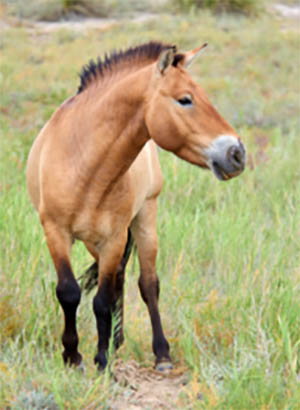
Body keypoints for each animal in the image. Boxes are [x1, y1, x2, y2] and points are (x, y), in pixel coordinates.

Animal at [26, 41, 246, 372]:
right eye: (185, 100)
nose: (237, 154)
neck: (83, 164)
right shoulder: (55, 232)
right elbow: (69, 292)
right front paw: (73, 356)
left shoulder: (114, 237)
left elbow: (102, 300)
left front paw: (101, 361)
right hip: (93, 242)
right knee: (118, 279)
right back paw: (116, 342)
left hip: (144, 219)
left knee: (147, 284)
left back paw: (161, 354)